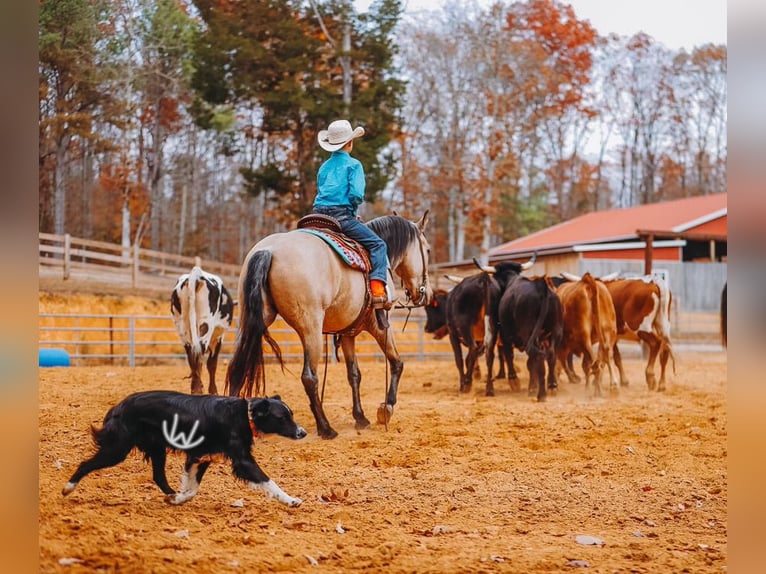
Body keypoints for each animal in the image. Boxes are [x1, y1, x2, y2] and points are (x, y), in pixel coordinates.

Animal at [225, 212, 433, 439]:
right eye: (428, 250)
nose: (426, 293)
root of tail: (269, 250)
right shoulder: (379, 326)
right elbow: (397, 362)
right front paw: (386, 408)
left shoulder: (348, 332)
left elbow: (354, 374)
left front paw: (360, 418)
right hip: (311, 328)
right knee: (309, 377)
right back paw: (326, 428)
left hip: (249, 321)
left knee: (236, 366)